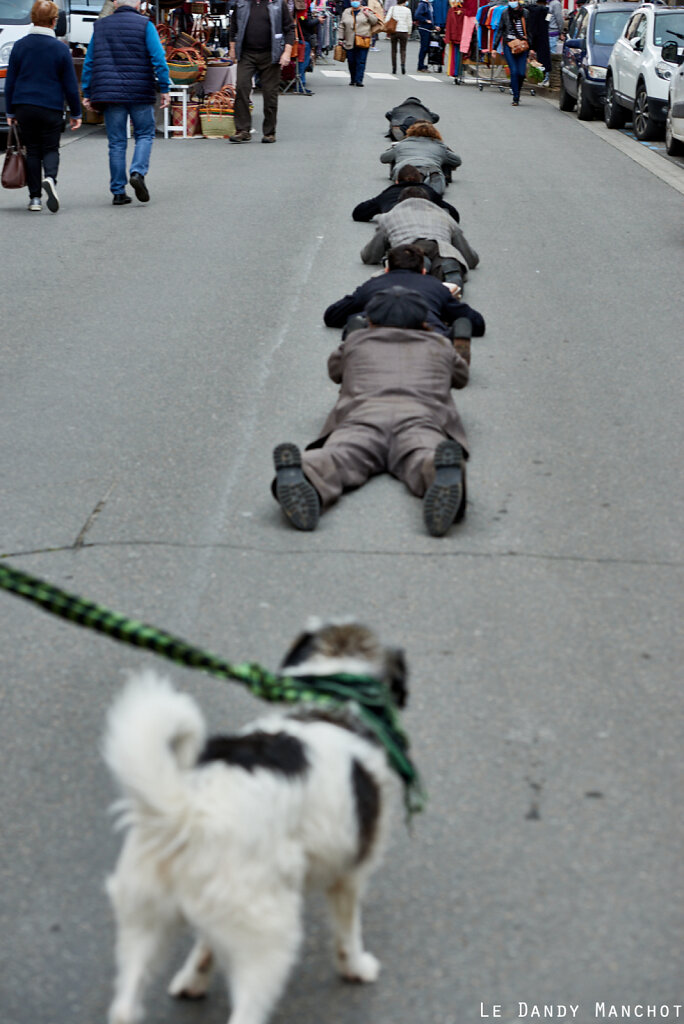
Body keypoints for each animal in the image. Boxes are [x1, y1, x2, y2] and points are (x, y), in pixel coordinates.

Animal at [104, 618, 409, 1024]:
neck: (331, 699)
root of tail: (191, 814)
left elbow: (205, 948)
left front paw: (193, 981)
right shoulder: (350, 875)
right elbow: (348, 935)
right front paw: (357, 969)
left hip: (144, 919)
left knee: (124, 1005)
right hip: (269, 935)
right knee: (246, 1012)